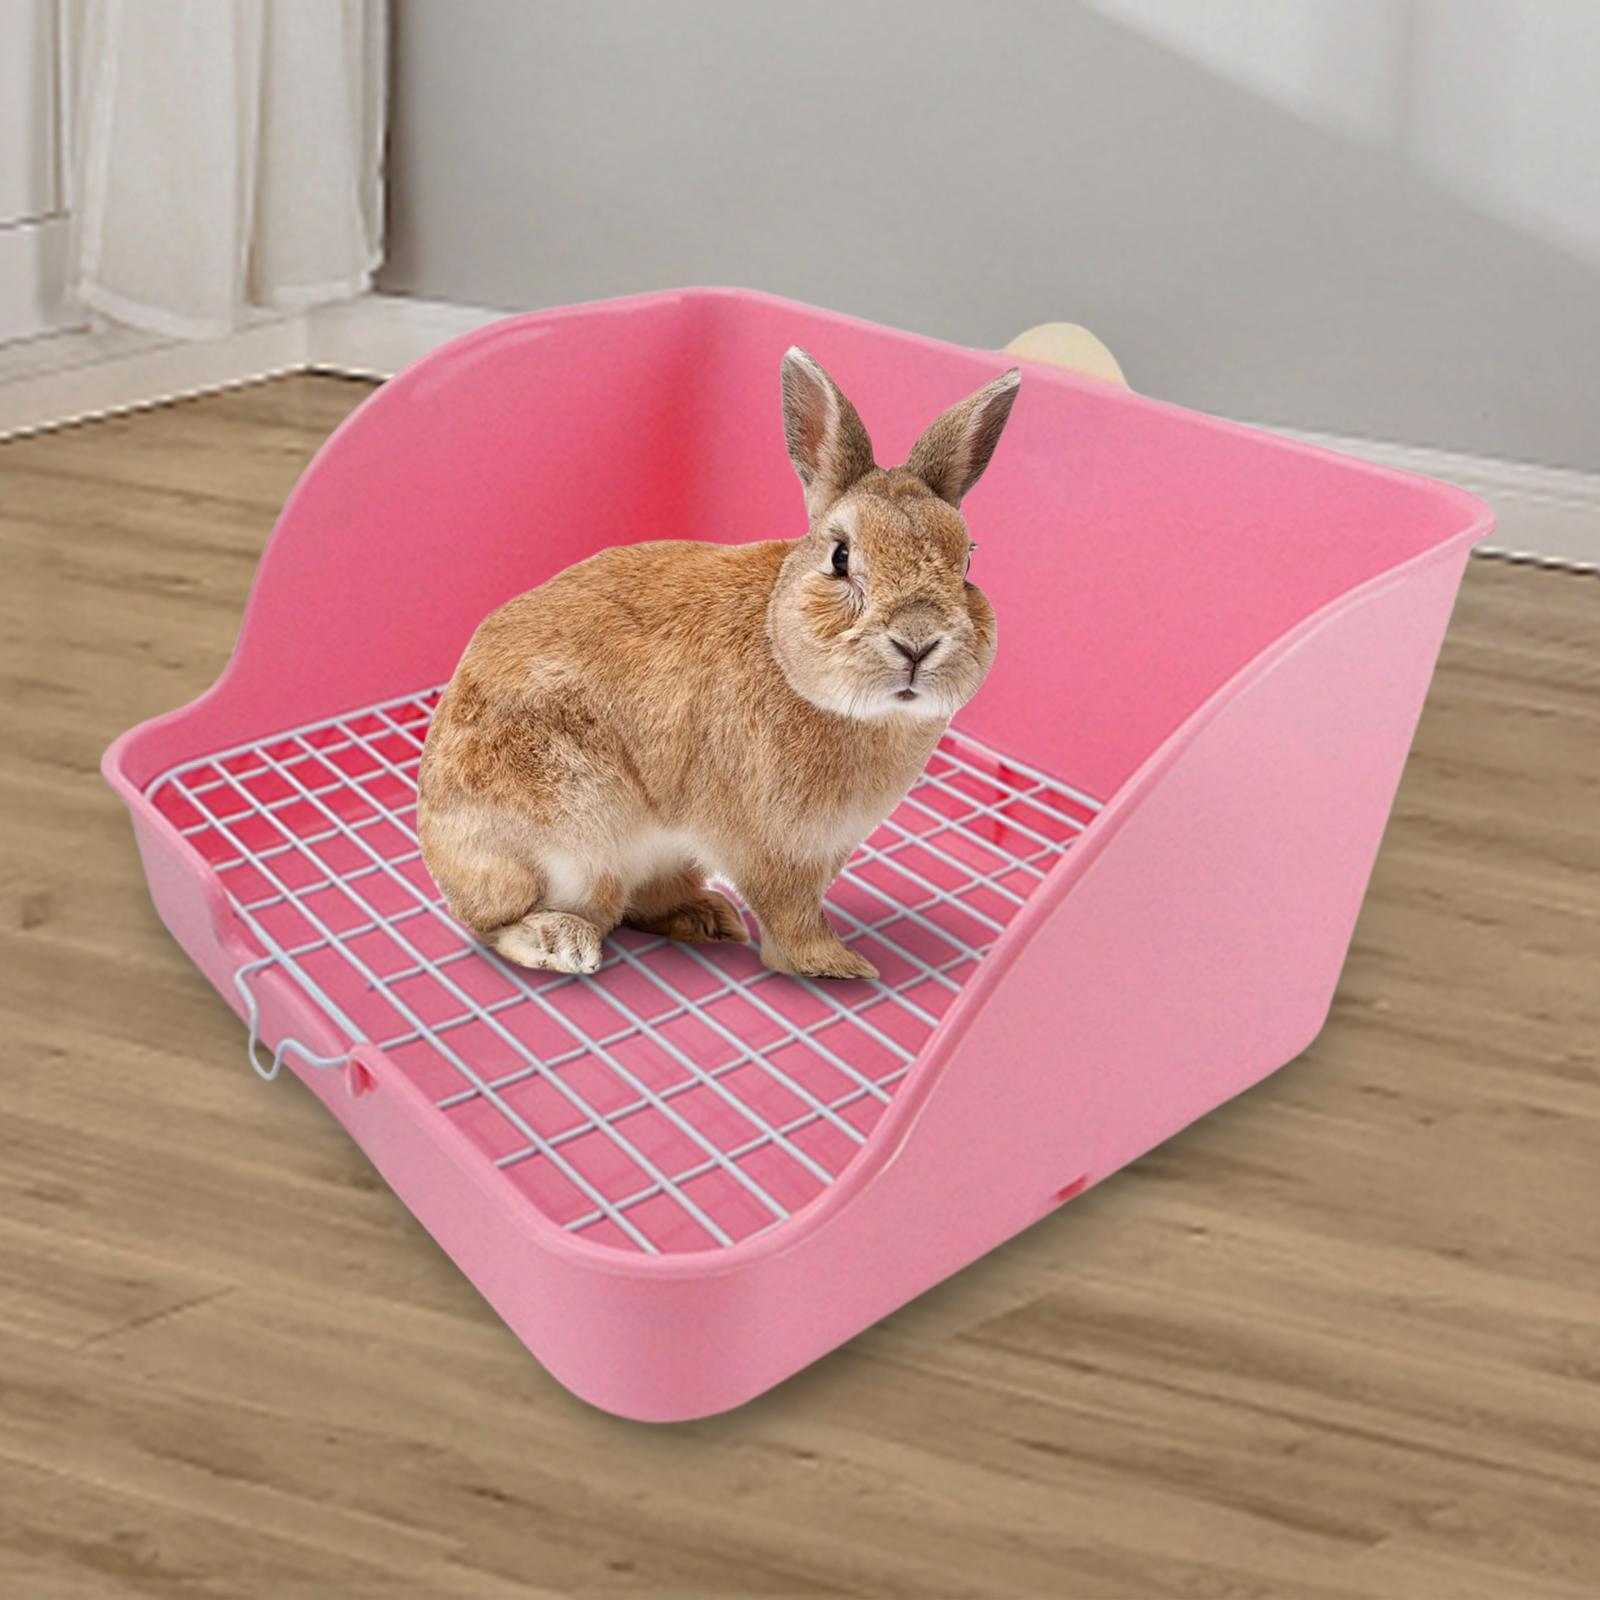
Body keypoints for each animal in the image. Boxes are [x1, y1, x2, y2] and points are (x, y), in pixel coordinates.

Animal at [417, 346, 1019, 981]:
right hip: (573, 841)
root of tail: (435, 848)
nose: (918, 641)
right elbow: (791, 914)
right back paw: (562, 943)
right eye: (840, 557)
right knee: (501, 923)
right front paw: (839, 966)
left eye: (968, 562)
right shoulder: (771, 847)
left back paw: (708, 919)